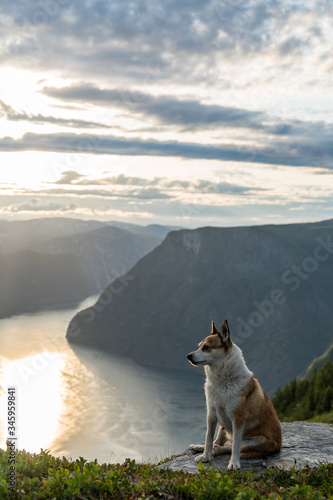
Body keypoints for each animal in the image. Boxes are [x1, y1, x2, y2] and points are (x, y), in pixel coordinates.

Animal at [187, 320, 280, 468]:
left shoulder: (237, 419)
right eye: (199, 346)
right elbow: (208, 438)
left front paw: (234, 463)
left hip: (253, 441)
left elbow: (235, 445)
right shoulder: (211, 414)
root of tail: (279, 445)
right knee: (217, 442)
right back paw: (201, 448)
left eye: (206, 347)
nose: (188, 356)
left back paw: (217, 450)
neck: (222, 380)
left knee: (230, 447)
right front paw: (205, 456)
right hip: (223, 427)